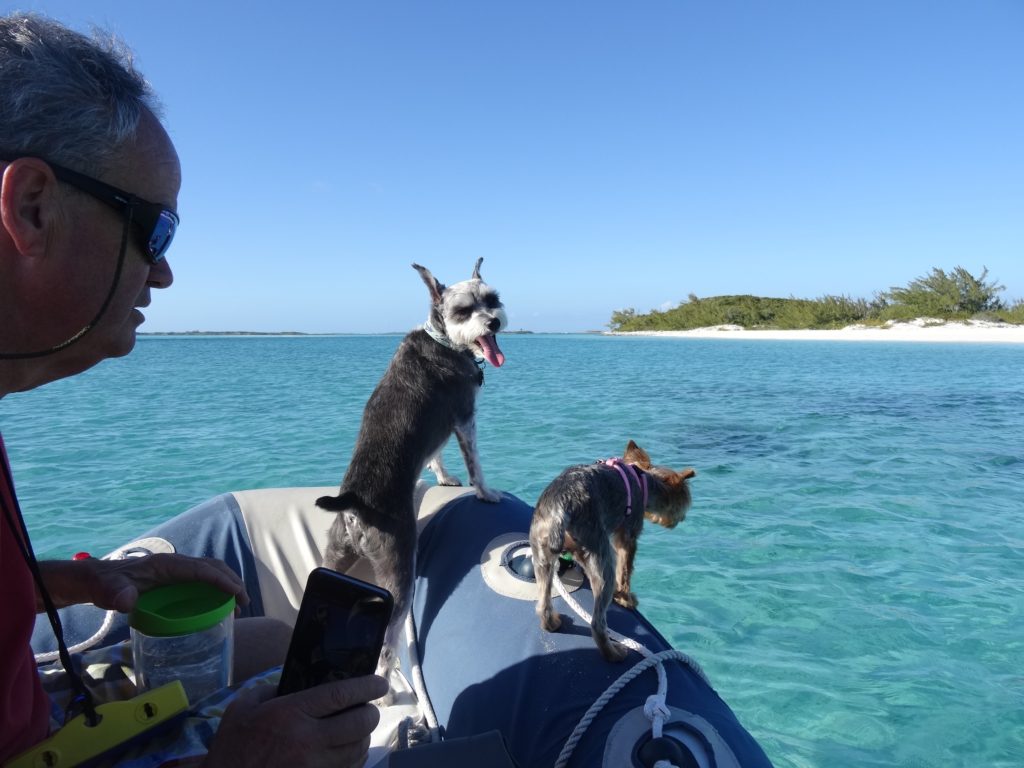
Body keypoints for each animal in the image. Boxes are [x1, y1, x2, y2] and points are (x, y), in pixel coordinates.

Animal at [528, 442, 696, 663]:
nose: (681, 519)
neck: (642, 481)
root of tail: (559, 509)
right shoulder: (627, 536)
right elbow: (625, 571)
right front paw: (626, 599)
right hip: (599, 556)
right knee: (597, 623)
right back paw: (614, 654)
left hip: (541, 554)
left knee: (542, 603)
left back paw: (552, 623)